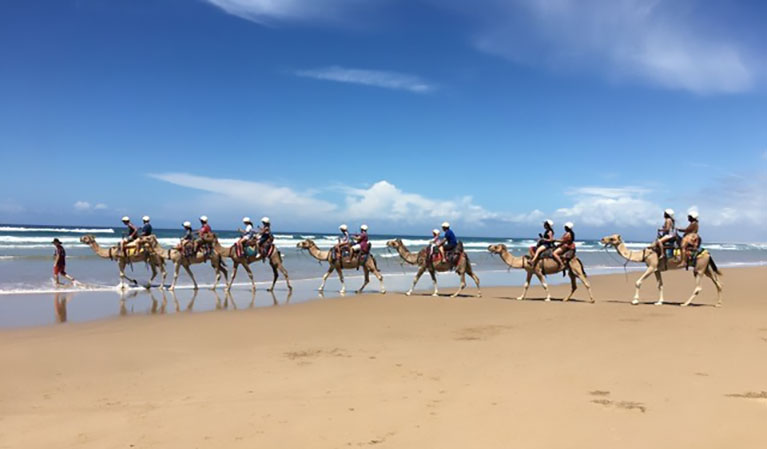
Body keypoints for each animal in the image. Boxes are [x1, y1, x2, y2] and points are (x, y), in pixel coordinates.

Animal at [600, 233, 728, 306]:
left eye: (612, 238)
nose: (602, 239)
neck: (643, 254)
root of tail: (708, 253)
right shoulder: (657, 269)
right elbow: (660, 285)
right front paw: (659, 302)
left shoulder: (652, 266)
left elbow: (638, 282)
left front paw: (635, 301)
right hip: (706, 268)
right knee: (718, 283)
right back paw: (718, 303)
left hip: (699, 269)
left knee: (698, 287)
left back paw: (685, 304)